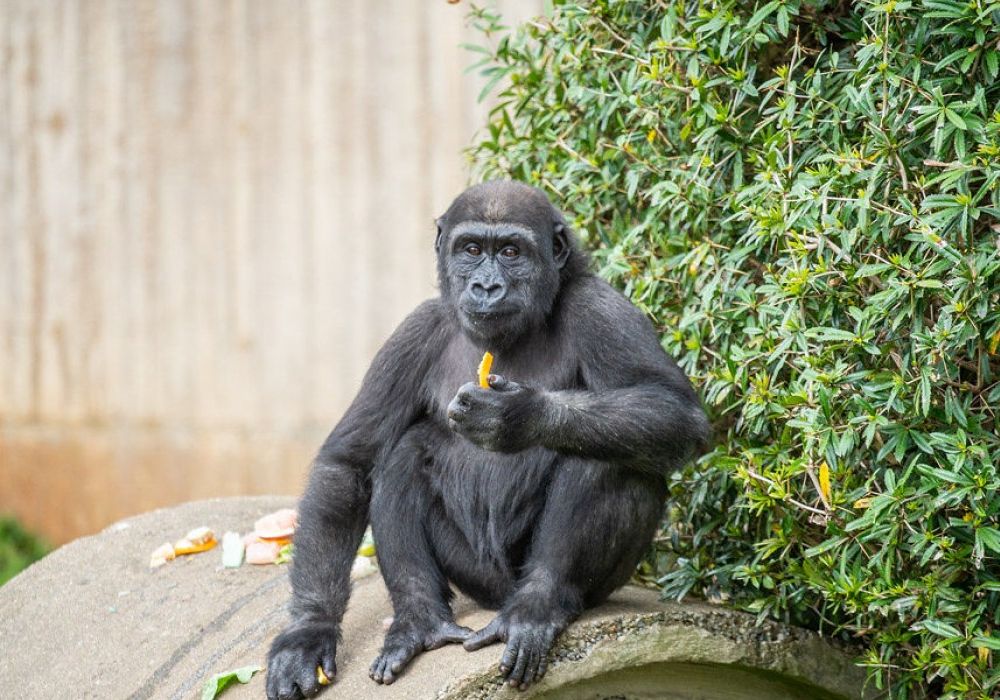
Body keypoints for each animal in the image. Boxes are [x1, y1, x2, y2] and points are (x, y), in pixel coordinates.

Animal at [262, 182, 708, 700]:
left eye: (511, 252)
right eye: (472, 250)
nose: (487, 287)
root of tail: (499, 599)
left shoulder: (601, 309)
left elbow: (671, 408)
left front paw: (521, 416)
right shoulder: (413, 334)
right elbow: (350, 463)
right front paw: (307, 632)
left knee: (612, 453)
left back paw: (537, 603)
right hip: (476, 579)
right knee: (405, 454)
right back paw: (420, 618)